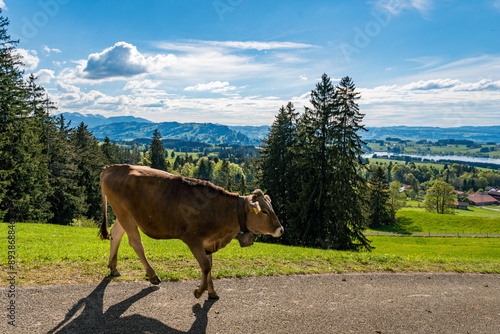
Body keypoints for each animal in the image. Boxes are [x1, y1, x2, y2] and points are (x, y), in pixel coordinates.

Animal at [99, 164, 284, 300]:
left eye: (271, 208)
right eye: (264, 212)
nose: (280, 229)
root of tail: (113, 167)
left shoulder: (208, 242)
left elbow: (209, 265)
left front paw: (211, 292)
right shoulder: (192, 238)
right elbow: (205, 266)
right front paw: (199, 291)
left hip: (124, 214)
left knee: (116, 234)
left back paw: (113, 268)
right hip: (124, 212)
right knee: (136, 242)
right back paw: (153, 275)